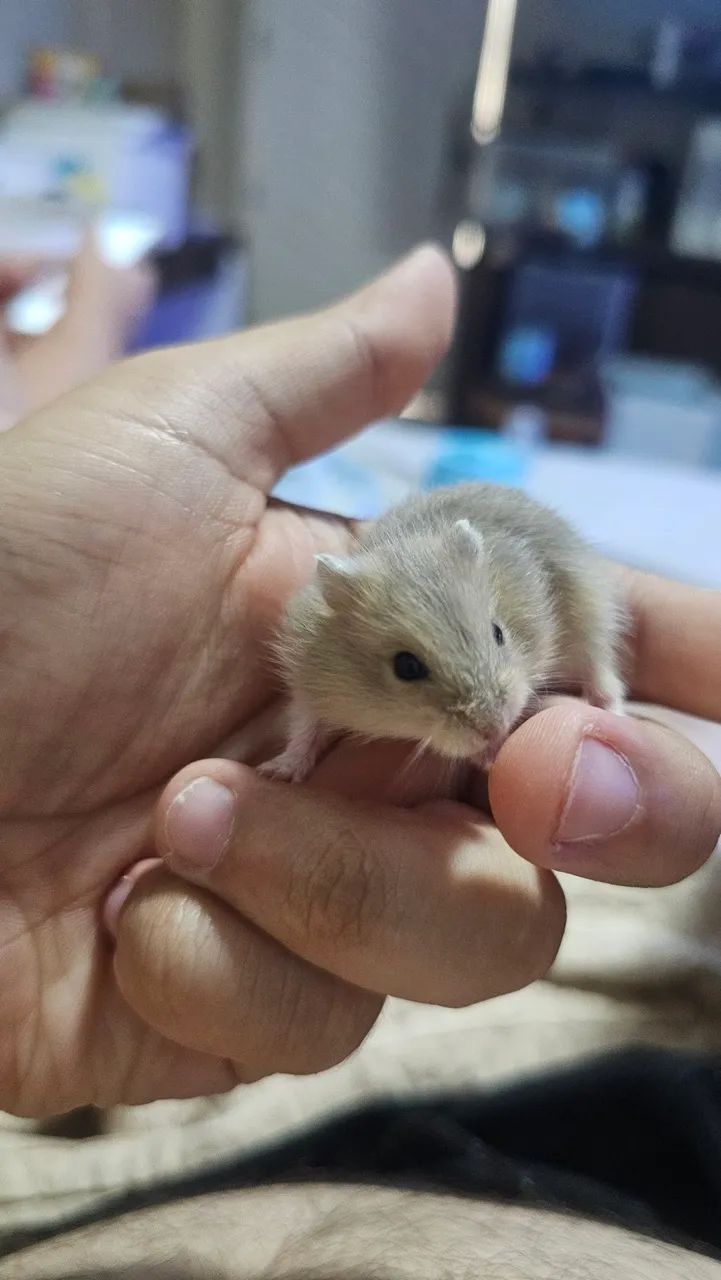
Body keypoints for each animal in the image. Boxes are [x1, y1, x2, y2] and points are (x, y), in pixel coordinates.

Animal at [260, 483, 626, 783]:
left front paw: (492, 756)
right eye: (406, 667)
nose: (496, 729)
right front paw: (275, 773)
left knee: (604, 676)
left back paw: (615, 715)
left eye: (498, 633)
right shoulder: (308, 683)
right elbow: (304, 729)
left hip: (593, 615)